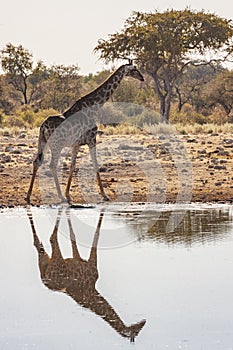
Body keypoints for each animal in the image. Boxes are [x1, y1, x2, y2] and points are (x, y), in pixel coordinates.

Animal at [26, 64, 144, 204]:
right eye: (134, 69)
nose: (142, 78)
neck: (94, 106)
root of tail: (43, 126)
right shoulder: (92, 139)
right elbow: (95, 164)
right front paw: (104, 195)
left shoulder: (76, 144)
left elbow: (72, 166)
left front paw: (68, 194)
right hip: (56, 145)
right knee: (52, 165)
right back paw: (60, 197)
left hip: (43, 142)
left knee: (37, 162)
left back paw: (28, 196)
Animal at [27, 208, 147, 342]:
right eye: (136, 332)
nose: (143, 322)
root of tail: (45, 278)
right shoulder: (90, 263)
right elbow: (96, 234)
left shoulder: (77, 259)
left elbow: (73, 236)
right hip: (56, 261)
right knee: (52, 238)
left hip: (45, 262)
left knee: (39, 246)